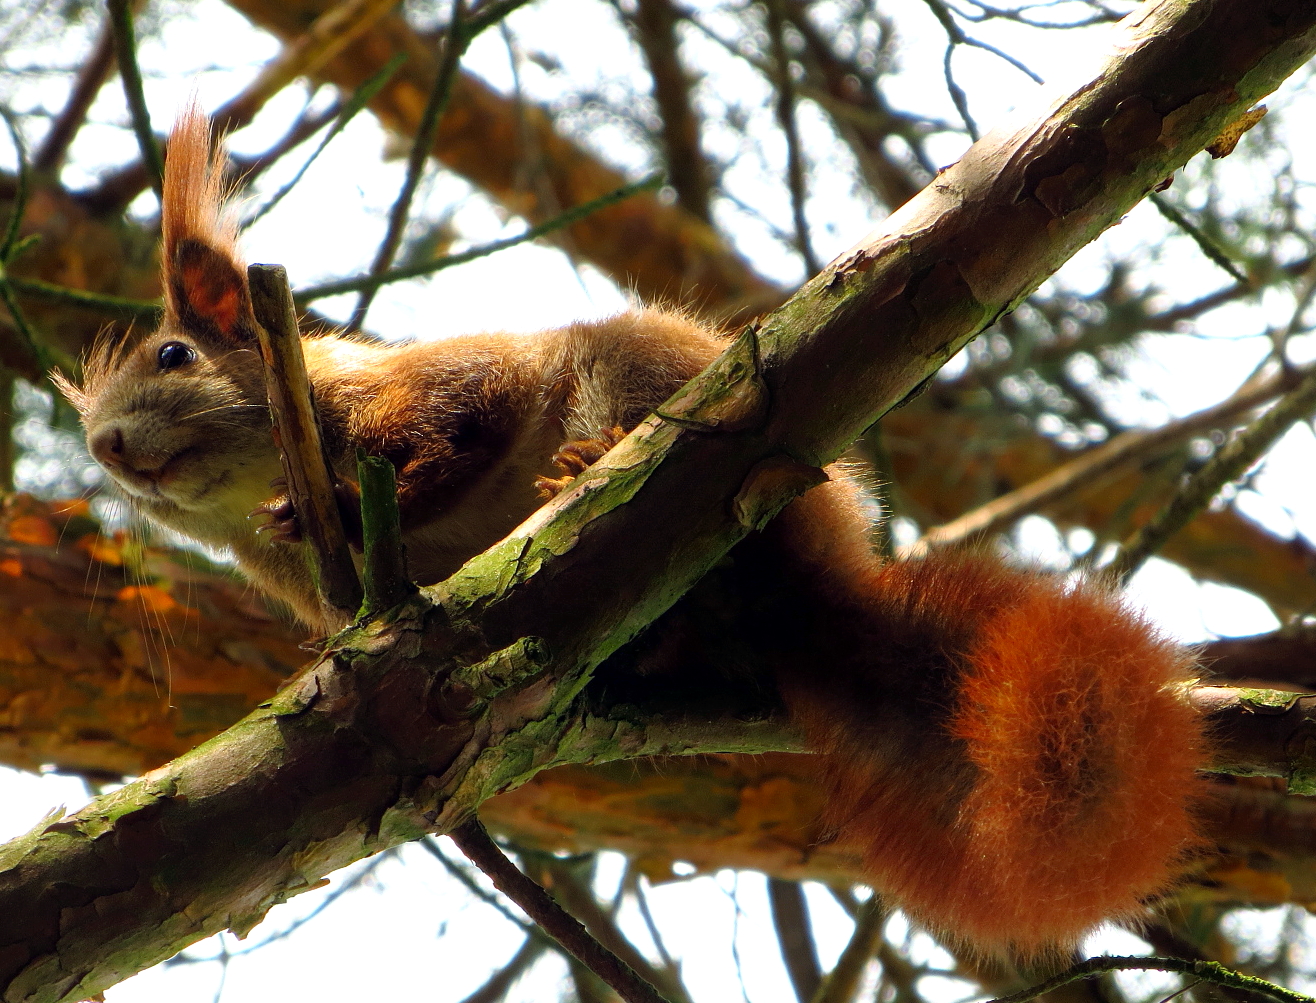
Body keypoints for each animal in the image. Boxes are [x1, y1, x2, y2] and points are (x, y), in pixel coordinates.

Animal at [64, 107, 1210, 952]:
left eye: (173, 355)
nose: (108, 449)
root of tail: (811, 603)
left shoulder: (445, 384)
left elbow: (456, 430)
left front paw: (351, 497)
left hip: (633, 369)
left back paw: (584, 466)